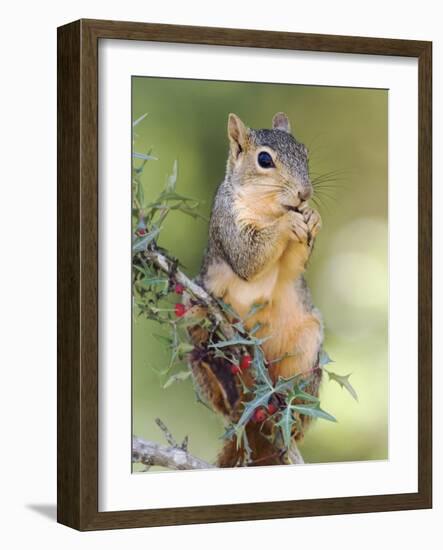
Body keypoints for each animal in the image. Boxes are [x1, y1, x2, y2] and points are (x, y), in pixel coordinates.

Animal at [186, 113, 322, 470]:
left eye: (306, 153)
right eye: (264, 160)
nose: (305, 193)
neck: (270, 209)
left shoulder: (292, 268)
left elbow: (293, 266)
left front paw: (313, 216)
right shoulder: (228, 223)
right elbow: (249, 257)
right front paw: (288, 224)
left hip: (306, 347)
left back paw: (289, 414)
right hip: (194, 311)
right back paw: (226, 385)